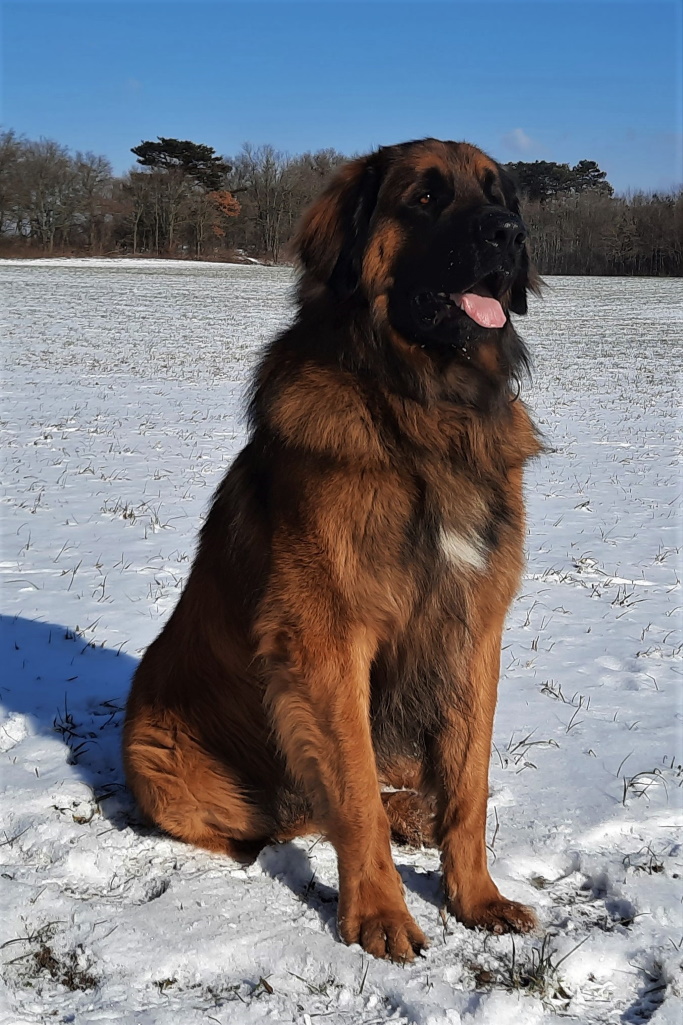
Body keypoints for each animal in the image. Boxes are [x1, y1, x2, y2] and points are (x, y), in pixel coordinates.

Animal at [121, 140, 537, 963]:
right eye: (425, 197)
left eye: (497, 193)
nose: (508, 233)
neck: (423, 410)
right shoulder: (325, 639)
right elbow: (351, 792)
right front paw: (378, 912)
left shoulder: (474, 630)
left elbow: (467, 783)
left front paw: (476, 897)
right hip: (156, 754)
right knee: (291, 815)